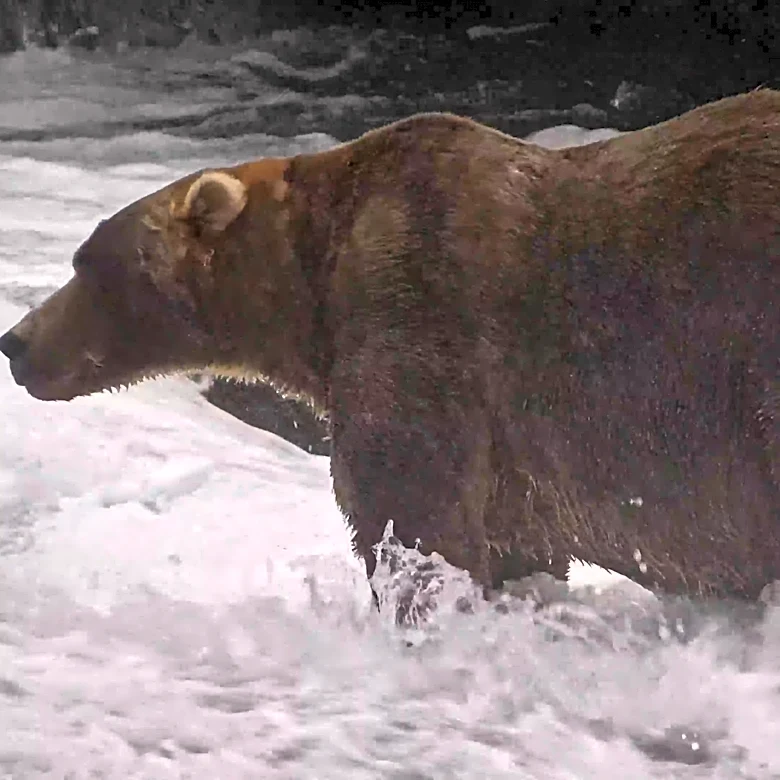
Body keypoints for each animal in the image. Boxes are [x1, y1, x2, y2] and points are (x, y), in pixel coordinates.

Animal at [0, 89, 778, 603]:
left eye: (87, 264)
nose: (15, 341)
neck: (308, 290)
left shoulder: (419, 317)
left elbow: (410, 509)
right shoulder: (517, 460)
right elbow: (516, 545)